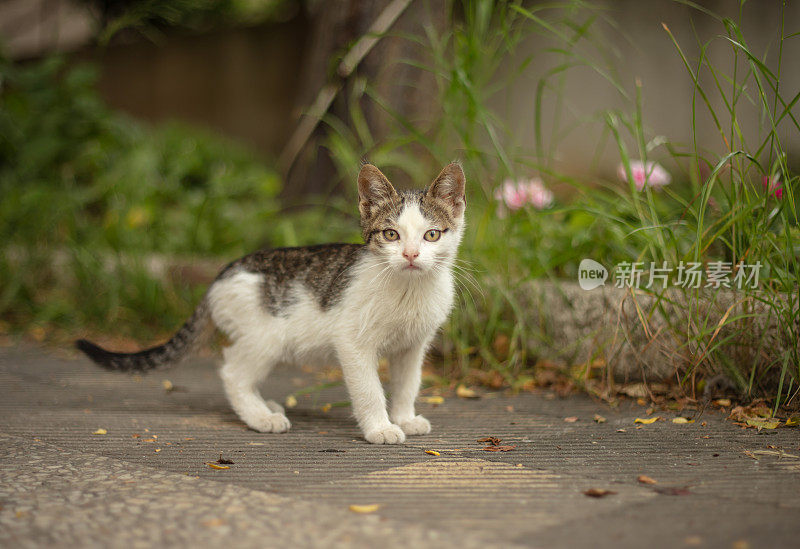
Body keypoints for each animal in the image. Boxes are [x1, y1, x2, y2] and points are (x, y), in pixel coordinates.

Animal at [78, 162, 466, 440]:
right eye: (390, 234)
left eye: (432, 235)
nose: (411, 255)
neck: (409, 288)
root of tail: (222, 273)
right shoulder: (352, 342)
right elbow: (369, 388)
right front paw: (381, 428)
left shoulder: (412, 345)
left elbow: (407, 383)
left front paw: (404, 417)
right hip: (266, 335)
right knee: (233, 371)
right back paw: (261, 417)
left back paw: (266, 405)